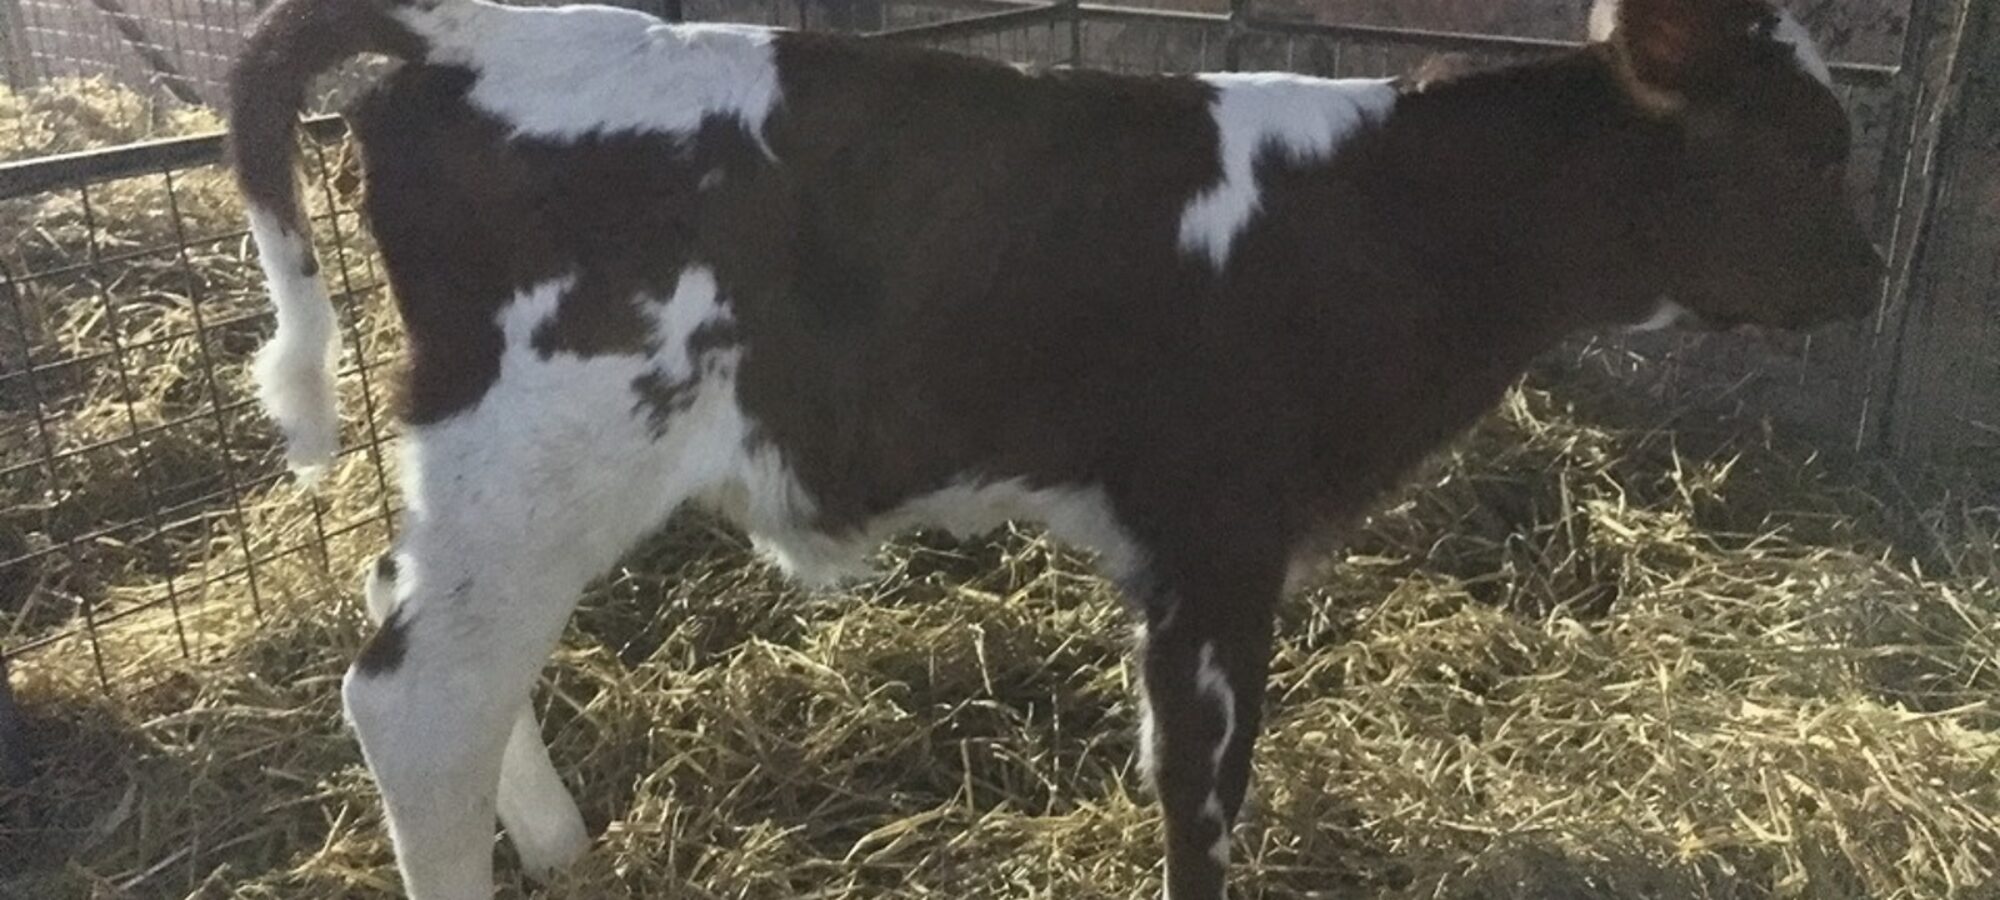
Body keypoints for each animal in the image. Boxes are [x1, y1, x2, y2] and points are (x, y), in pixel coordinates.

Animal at [225, 0, 1881, 896]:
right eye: (1814, 147)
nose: (1870, 279)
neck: (1395, 219)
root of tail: (478, 34)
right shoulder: (1218, 526)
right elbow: (1202, 781)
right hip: (548, 444)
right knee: (418, 699)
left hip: (495, 473)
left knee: (423, 632)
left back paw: (564, 844)